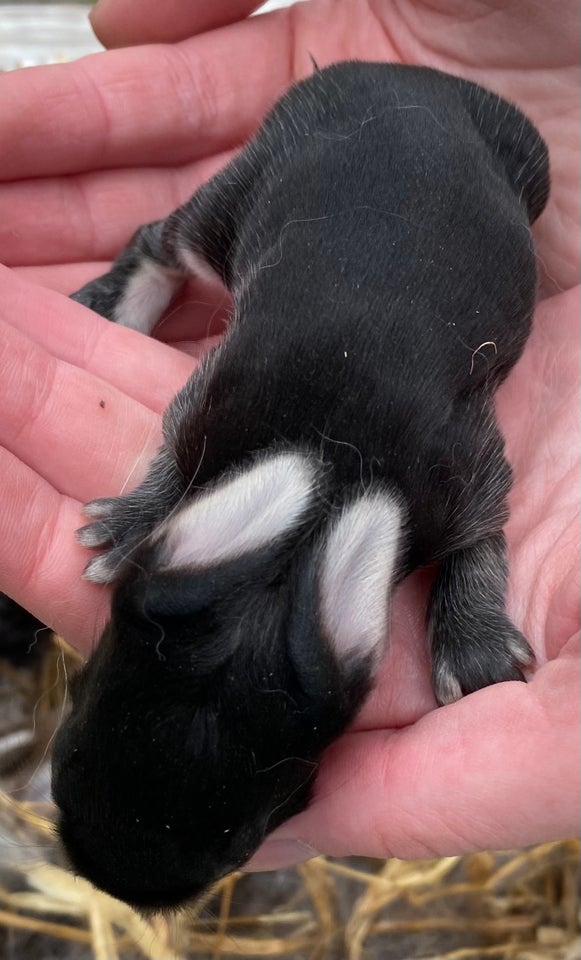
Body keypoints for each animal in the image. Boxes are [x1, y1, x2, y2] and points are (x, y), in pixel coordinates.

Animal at [51, 60, 548, 908]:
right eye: (63, 758)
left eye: (243, 841)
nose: (118, 881)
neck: (318, 505)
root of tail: (405, 75)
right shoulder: (210, 400)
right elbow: (172, 454)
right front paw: (126, 528)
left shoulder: (470, 473)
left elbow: (483, 536)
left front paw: (476, 652)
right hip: (235, 196)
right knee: (160, 236)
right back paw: (111, 306)